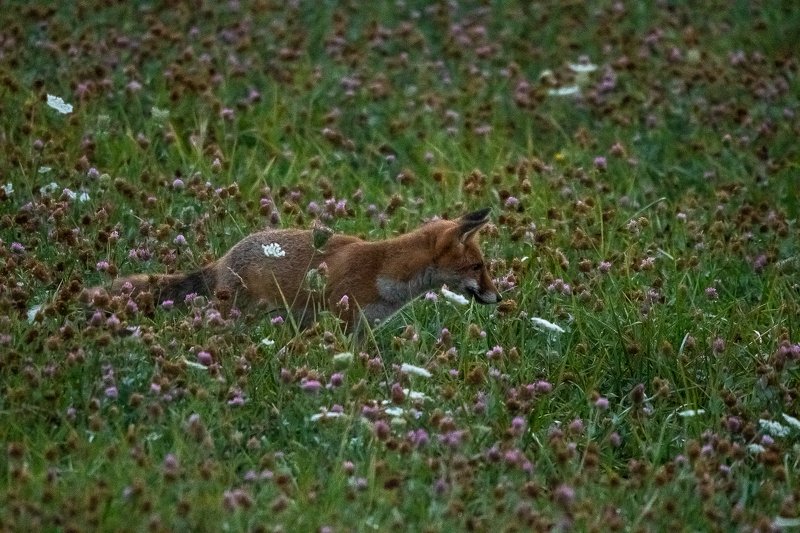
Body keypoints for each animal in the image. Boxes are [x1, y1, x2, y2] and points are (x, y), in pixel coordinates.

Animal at [83, 208, 501, 330]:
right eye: (477, 266)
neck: (384, 270)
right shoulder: (344, 317)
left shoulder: (363, 328)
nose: (499, 297)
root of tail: (221, 259)